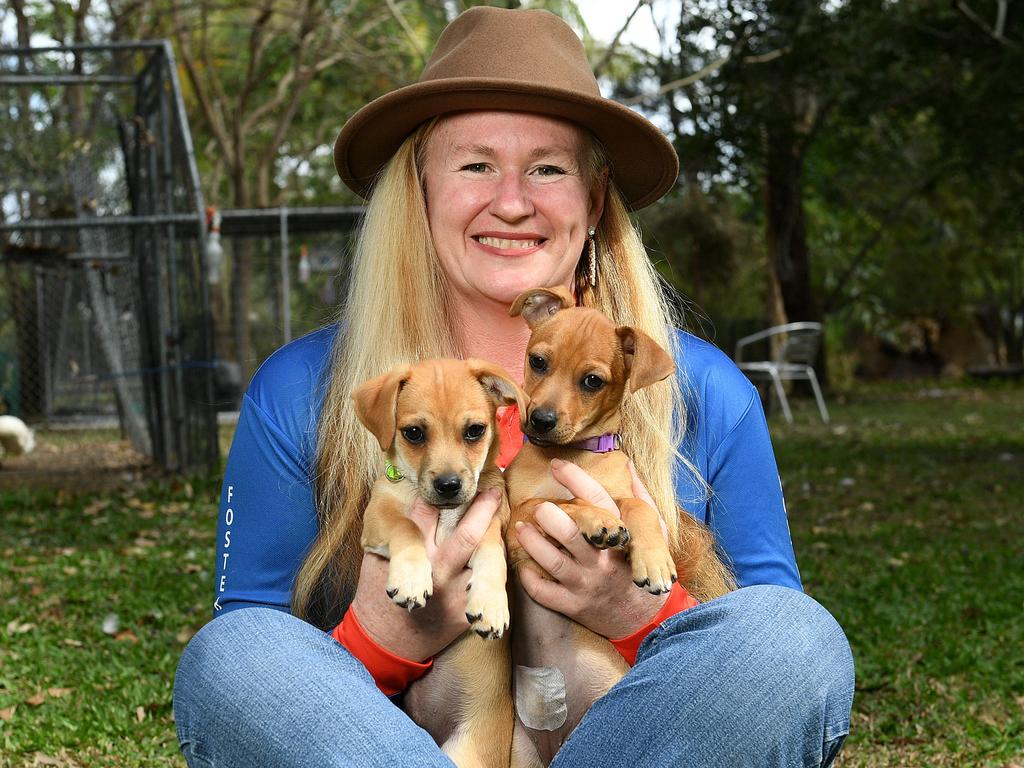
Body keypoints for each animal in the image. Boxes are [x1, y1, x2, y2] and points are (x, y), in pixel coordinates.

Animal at [356, 360, 524, 768]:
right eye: (414, 433)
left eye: (475, 430)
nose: (448, 485)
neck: (444, 514)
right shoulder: (377, 518)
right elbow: (407, 526)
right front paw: (413, 579)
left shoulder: (492, 522)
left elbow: (493, 556)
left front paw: (491, 605)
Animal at [503, 288, 729, 768]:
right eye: (537, 361)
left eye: (592, 381)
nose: (541, 420)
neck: (570, 455)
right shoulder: (515, 525)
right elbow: (557, 501)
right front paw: (599, 520)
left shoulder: (624, 490)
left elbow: (637, 508)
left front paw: (653, 561)